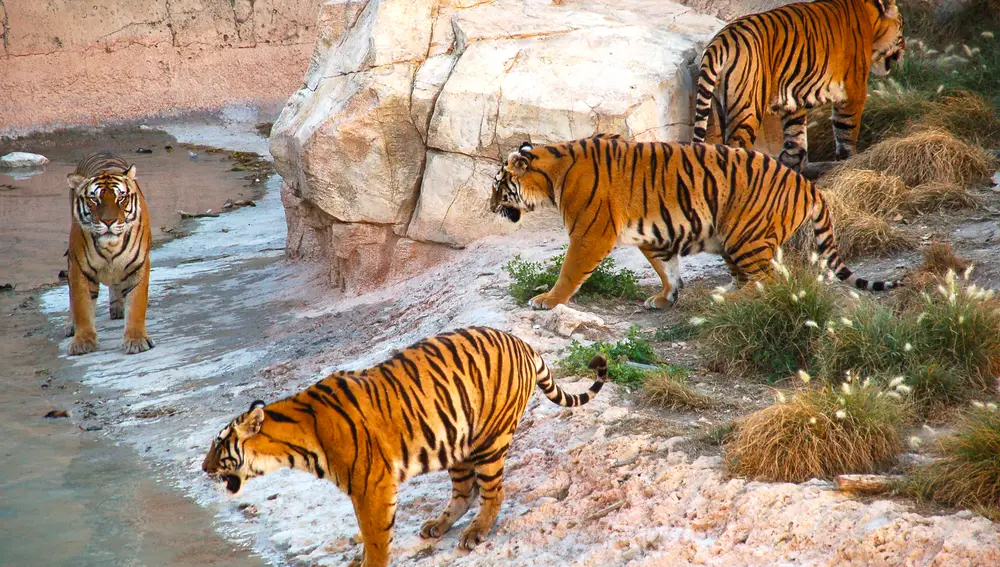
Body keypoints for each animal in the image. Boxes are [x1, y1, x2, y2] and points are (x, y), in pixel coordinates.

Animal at [65, 151, 154, 356]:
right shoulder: (79, 268)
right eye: (94, 200)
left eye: (120, 198)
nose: (108, 221)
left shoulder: (138, 266)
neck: (110, 247)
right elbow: (81, 304)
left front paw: (136, 340)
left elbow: (136, 304)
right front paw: (82, 341)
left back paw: (118, 308)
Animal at [202, 326, 604, 567]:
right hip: (457, 443)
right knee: (465, 491)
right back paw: (438, 526)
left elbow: (375, 537)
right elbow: (368, 536)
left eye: (219, 446)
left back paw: (475, 533)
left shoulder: (372, 487)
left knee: (492, 492)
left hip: (490, 439)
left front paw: (369, 563)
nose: (204, 469)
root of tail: (522, 342)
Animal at [488, 134, 904, 310]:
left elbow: (569, 271)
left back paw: (729, 299)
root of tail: (808, 185)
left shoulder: (589, 234)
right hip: (735, 242)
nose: (490, 206)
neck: (552, 173)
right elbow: (667, 269)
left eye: (497, 186)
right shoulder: (654, 237)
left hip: (745, 235)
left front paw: (547, 300)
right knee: (756, 277)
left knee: (769, 281)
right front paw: (665, 297)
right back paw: (725, 293)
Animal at [692, 0, 904, 171]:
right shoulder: (853, 91)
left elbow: (795, 142)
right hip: (747, 110)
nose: (903, 49)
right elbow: (846, 132)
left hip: (721, 108)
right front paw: (848, 164)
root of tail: (720, 42)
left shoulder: (791, 102)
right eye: (902, 28)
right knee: (736, 146)